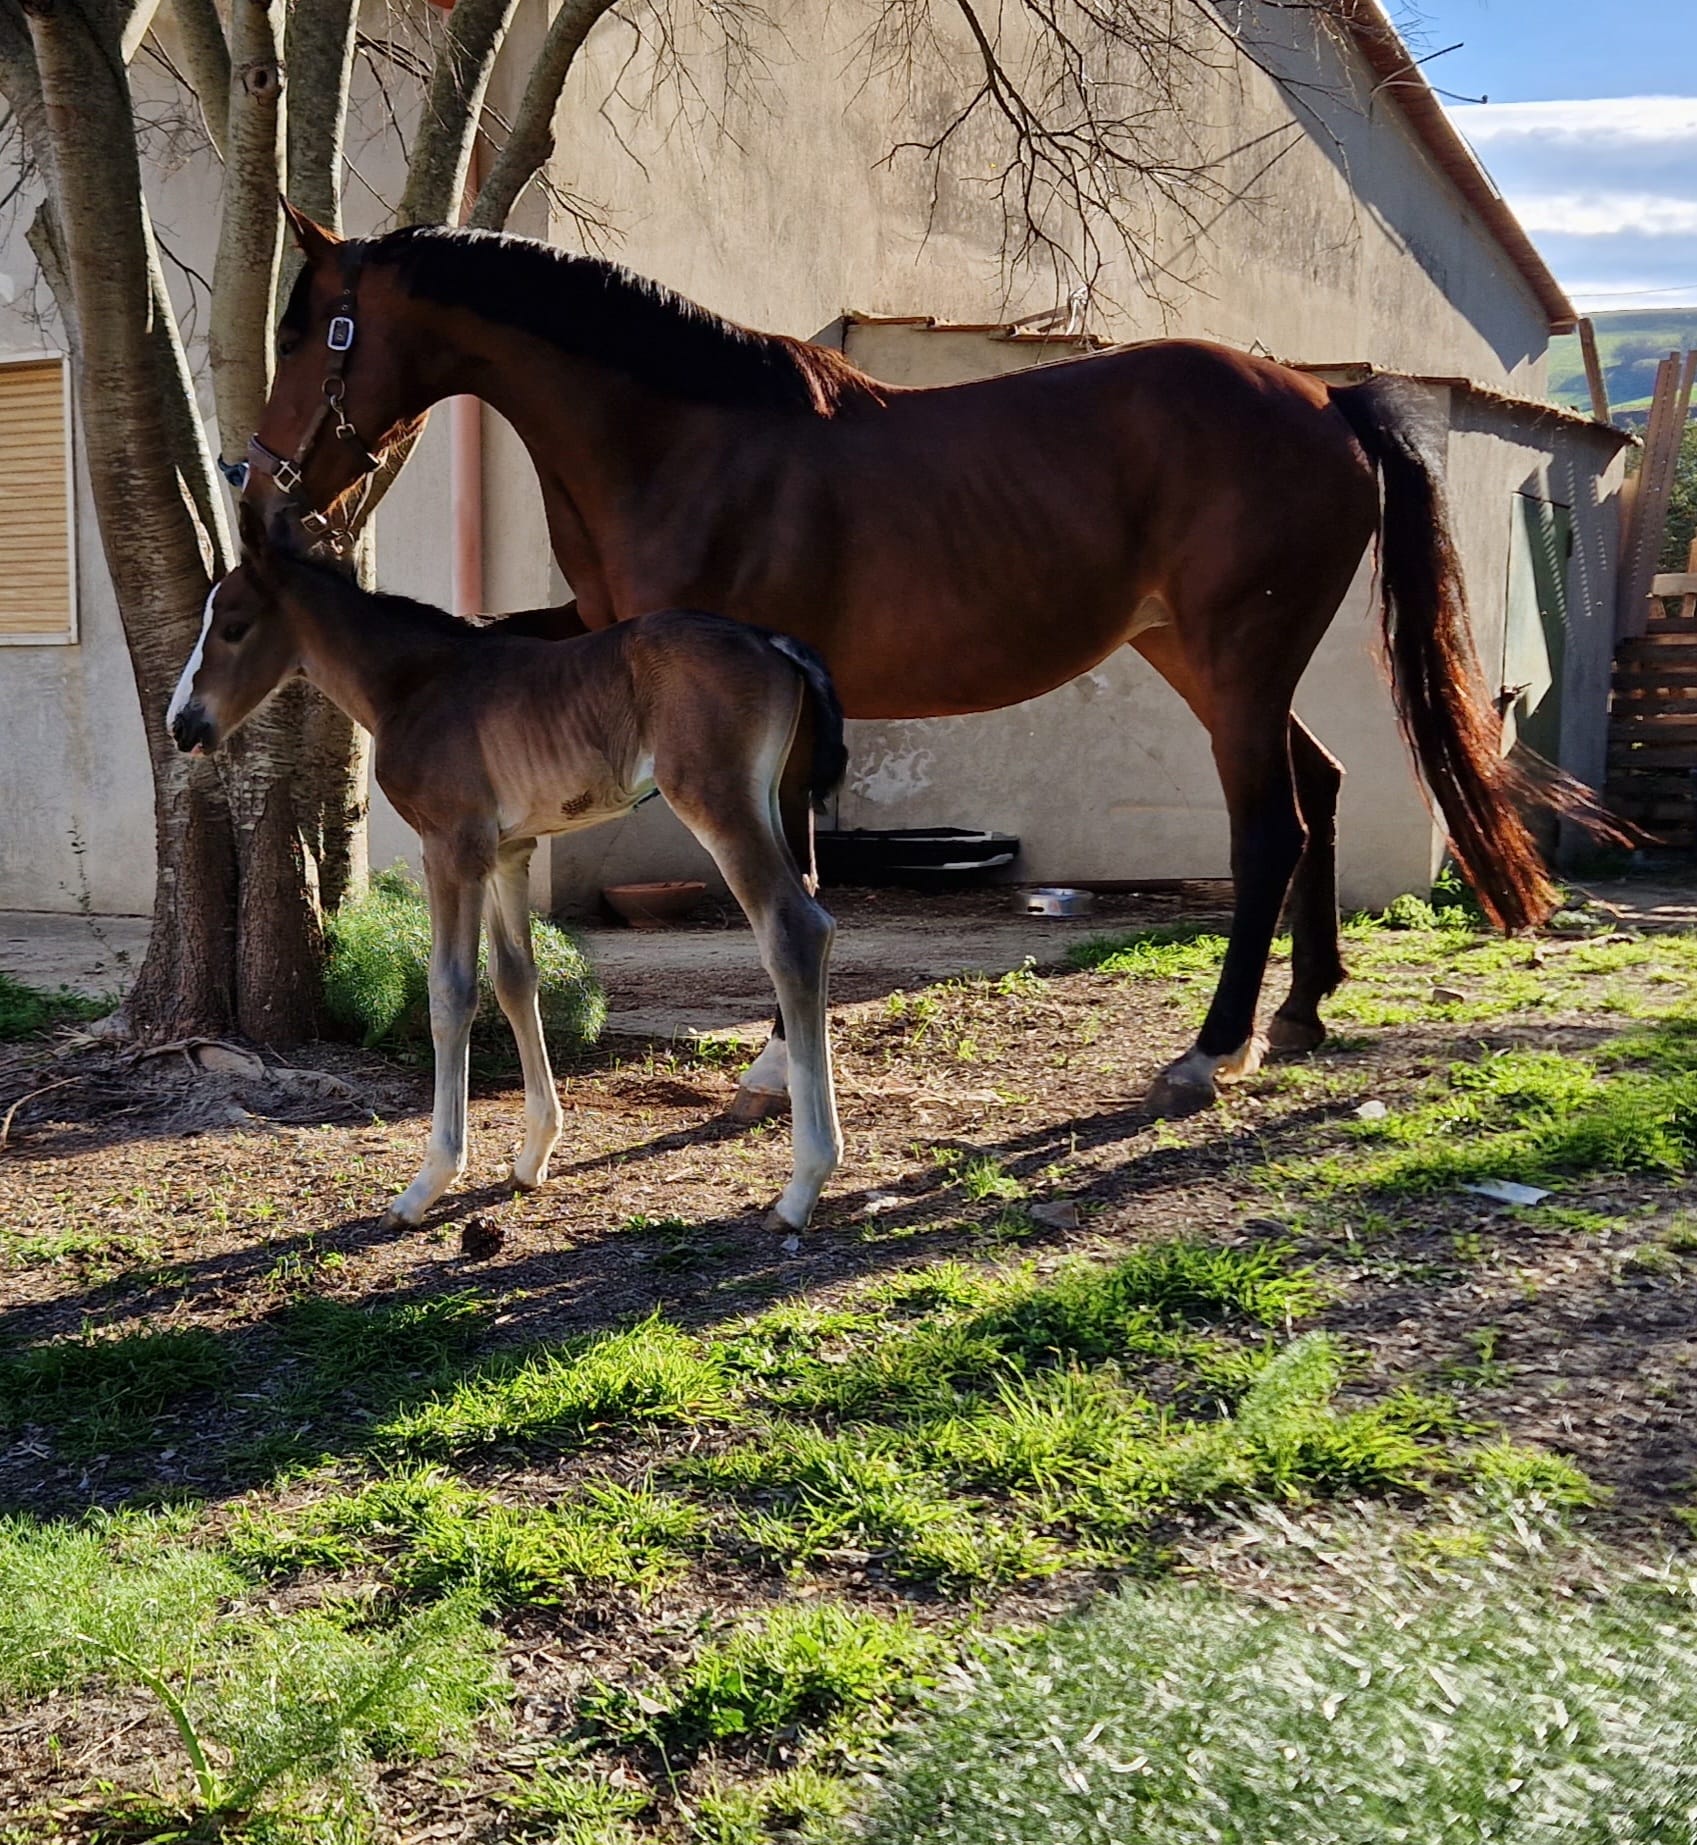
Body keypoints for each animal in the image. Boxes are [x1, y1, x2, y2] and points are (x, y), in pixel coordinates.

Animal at [172, 512, 848, 1232]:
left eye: (234, 625)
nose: (183, 725)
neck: (414, 683)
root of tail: (774, 640)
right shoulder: (508, 851)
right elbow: (515, 980)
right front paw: (532, 1157)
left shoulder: (450, 845)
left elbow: (451, 992)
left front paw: (428, 1182)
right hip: (767, 798)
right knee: (811, 911)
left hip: (715, 801)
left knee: (794, 928)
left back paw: (802, 1185)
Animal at [245, 211, 1608, 1114]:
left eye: (312, 330)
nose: (257, 492)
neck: (682, 441)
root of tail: (1328, 403)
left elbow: (785, 881)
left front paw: (773, 1067)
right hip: (1202, 657)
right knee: (1320, 789)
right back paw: (1304, 1010)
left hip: (1235, 657)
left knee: (1270, 826)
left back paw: (1211, 1049)